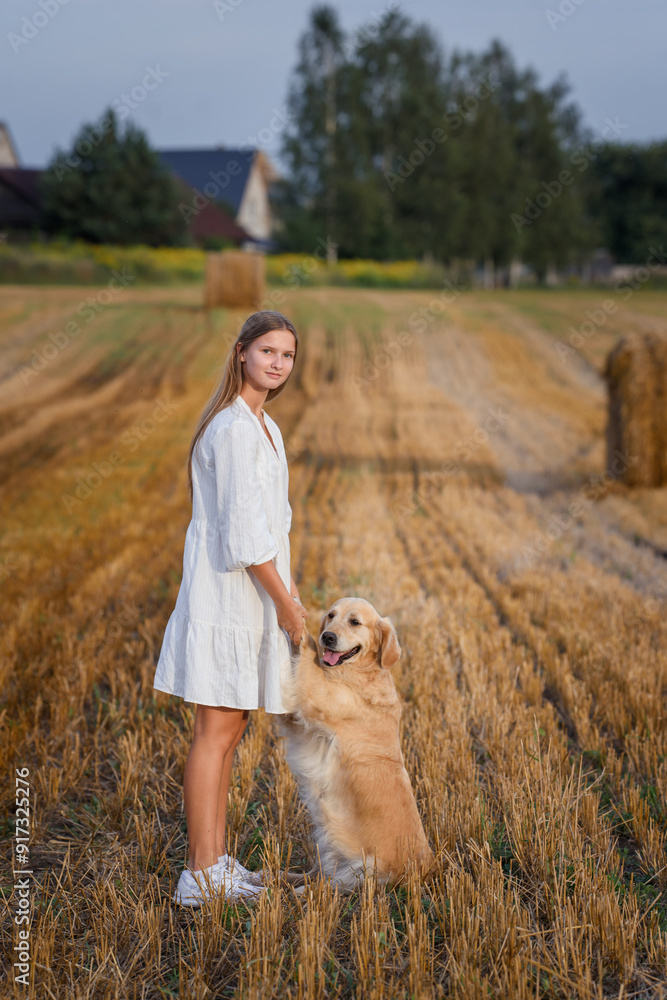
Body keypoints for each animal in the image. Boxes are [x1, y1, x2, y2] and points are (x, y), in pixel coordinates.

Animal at [276, 592, 434, 892]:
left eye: (355, 622)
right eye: (330, 616)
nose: (327, 636)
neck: (360, 674)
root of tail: (424, 871)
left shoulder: (316, 699)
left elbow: (308, 656)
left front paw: (300, 627)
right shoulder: (301, 723)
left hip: (363, 870)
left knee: (324, 886)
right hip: (326, 849)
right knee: (314, 873)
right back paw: (275, 877)